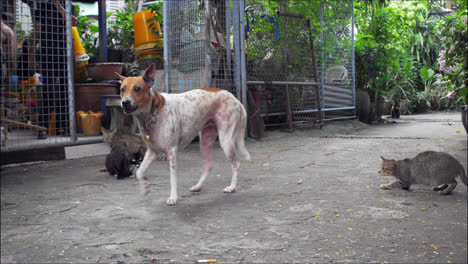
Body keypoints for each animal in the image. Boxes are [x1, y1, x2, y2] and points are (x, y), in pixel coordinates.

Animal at [115, 63, 250, 205]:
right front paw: (145, 187)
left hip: (226, 141)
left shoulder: (172, 151)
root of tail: (235, 99)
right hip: (205, 140)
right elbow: (139, 172)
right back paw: (198, 186)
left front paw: (173, 197)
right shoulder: (152, 152)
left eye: (137, 89)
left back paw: (232, 187)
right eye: (122, 89)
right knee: (208, 165)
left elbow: (172, 177)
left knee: (236, 164)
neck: (154, 112)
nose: (125, 103)